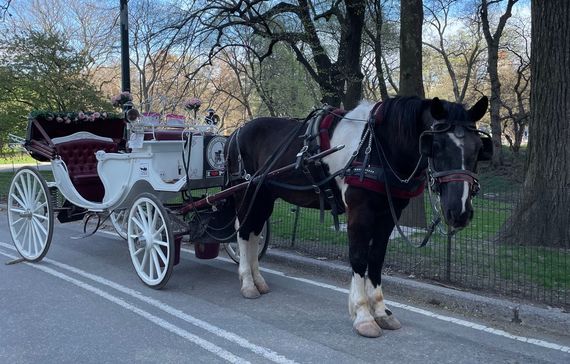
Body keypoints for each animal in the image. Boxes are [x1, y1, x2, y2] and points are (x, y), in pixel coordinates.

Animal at [222, 96, 488, 338]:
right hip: (246, 192)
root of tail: (235, 132)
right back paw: (247, 282)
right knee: (244, 233)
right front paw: (363, 315)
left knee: (254, 233)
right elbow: (359, 258)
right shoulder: (360, 213)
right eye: (436, 145)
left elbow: (376, 259)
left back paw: (258, 279)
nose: (459, 211)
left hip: (264, 196)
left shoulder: (388, 215)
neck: (376, 146)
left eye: (478, 149)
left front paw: (380, 311)